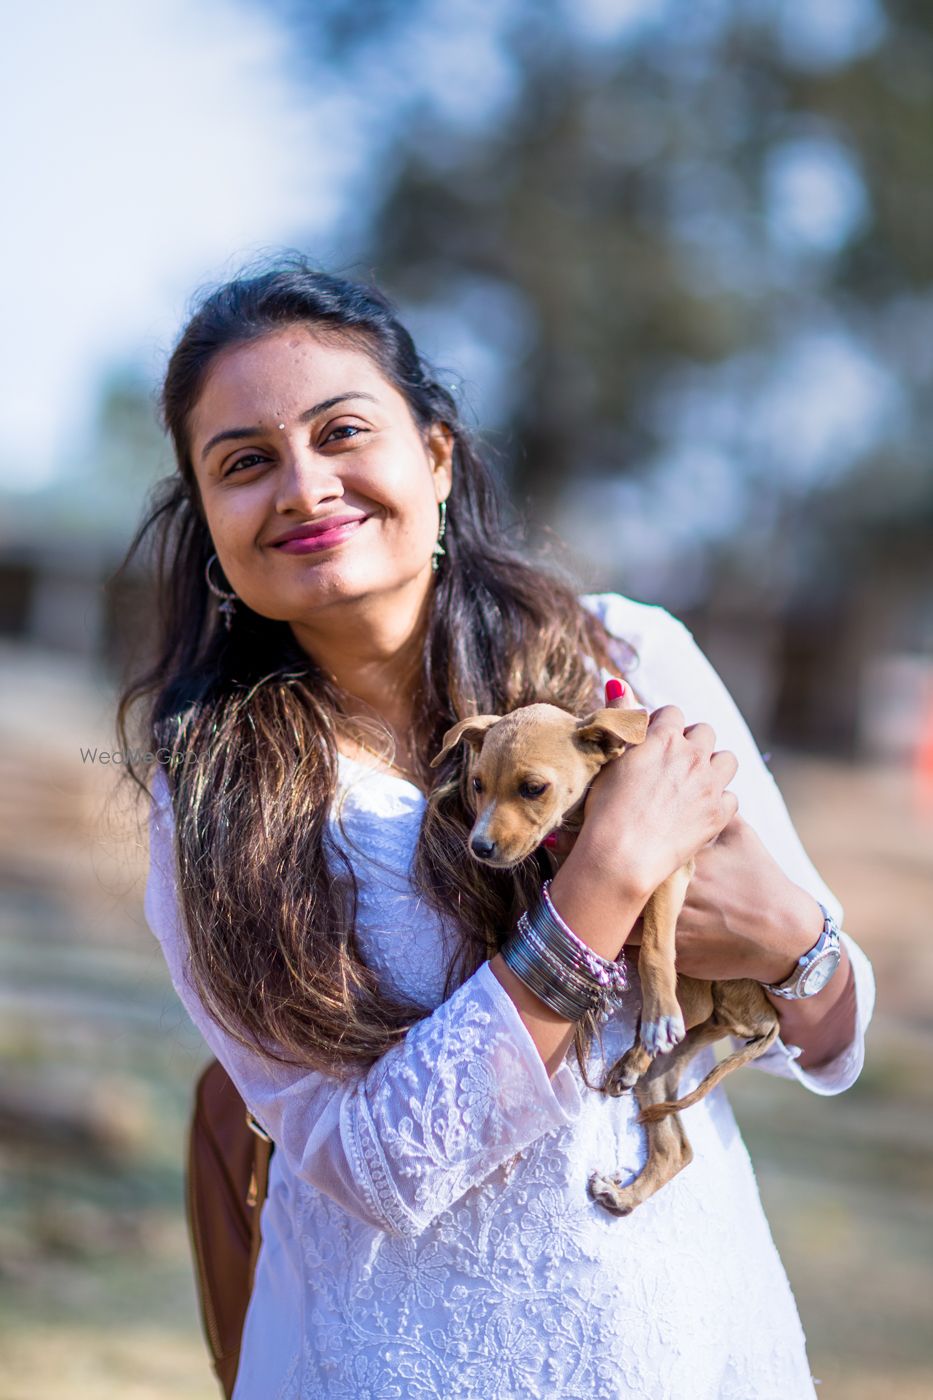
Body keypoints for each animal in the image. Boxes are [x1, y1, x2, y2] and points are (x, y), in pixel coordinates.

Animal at [428, 705, 778, 1220]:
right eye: (477, 784)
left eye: (533, 788)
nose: (480, 847)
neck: (578, 826)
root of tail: (767, 1017)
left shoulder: (667, 868)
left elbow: (654, 945)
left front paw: (658, 1008)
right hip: (664, 1074)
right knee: (676, 1147)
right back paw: (624, 1185)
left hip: (702, 996)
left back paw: (651, 1029)